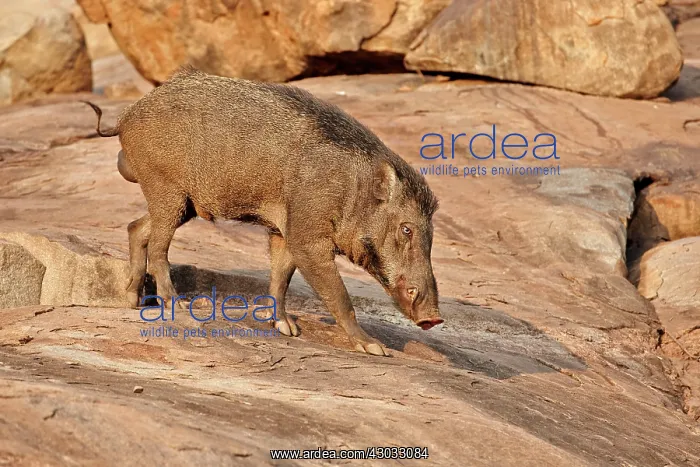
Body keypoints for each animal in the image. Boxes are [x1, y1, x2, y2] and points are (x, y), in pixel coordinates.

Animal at [83, 65, 443, 356]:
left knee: (137, 228)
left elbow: (280, 278)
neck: (351, 190)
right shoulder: (307, 235)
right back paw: (177, 304)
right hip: (167, 189)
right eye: (406, 228)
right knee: (158, 247)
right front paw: (375, 349)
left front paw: (287, 328)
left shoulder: (282, 231)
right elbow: (340, 296)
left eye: (432, 235)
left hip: (183, 204)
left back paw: (132, 300)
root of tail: (125, 117)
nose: (434, 318)